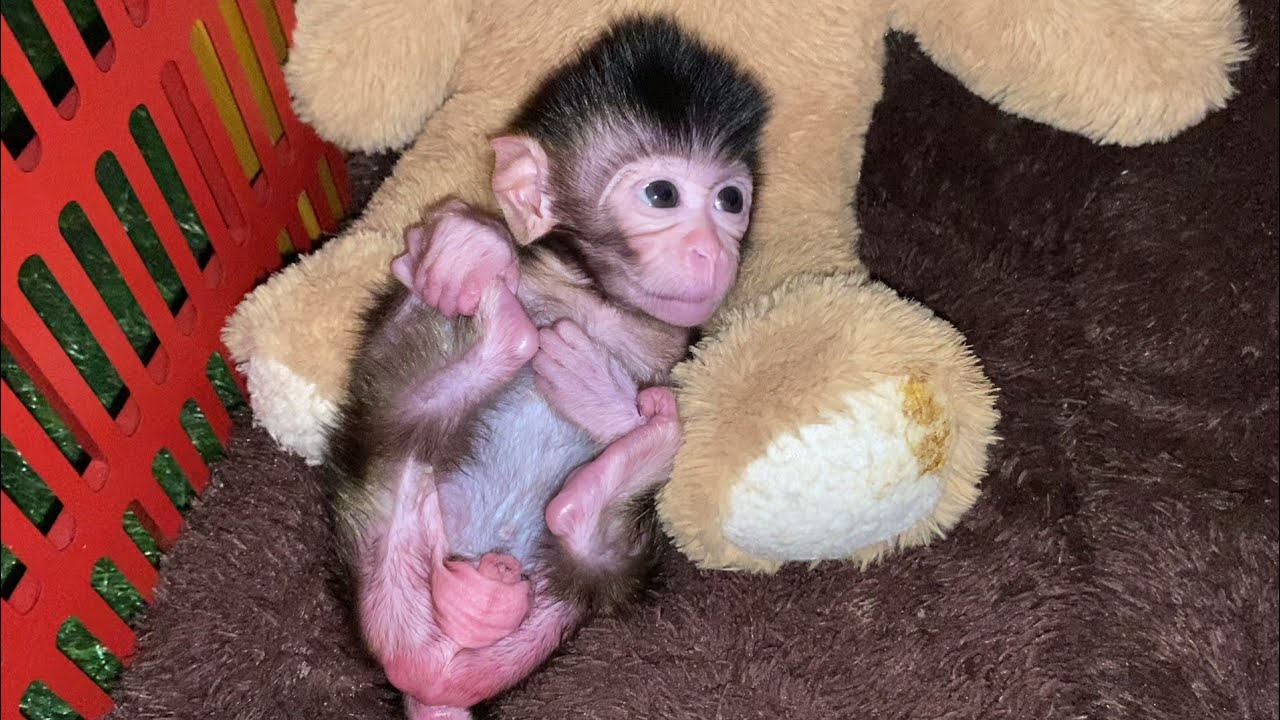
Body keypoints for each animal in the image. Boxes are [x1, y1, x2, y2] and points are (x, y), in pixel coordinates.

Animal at [321, 16, 769, 720]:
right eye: (661, 194)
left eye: (730, 200)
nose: (711, 250)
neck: (596, 297)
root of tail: (434, 673)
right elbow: (414, 293)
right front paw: (465, 247)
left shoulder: (682, 345)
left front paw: (603, 395)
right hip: (382, 498)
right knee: (401, 416)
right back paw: (502, 327)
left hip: (589, 579)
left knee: (595, 543)